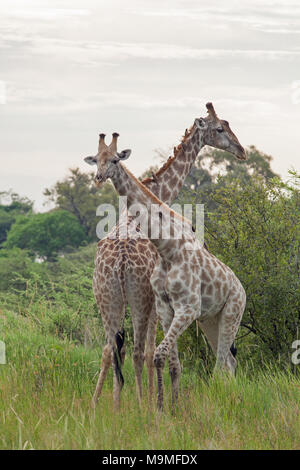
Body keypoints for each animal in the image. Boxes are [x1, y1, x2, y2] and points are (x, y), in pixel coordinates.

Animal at [84, 103, 246, 412]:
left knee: (112, 350)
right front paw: (153, 402)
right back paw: (125, 405)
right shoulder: (158, 304)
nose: (242, 151)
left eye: (228, 125)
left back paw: (105, 406)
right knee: (134, 351)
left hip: (106, 297)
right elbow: (156, 354)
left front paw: (151, 402)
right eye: (220, 128)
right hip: (135, 299)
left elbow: (149, 354)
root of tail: (119, 263)